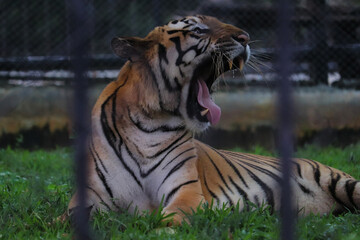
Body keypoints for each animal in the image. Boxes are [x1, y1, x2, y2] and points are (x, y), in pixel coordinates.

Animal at [65, 15, 360, 225]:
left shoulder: (185, 192)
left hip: (343, 183)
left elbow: (170, 219)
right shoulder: (87, 198)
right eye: (198, 30)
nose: (246, 37)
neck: (148, 124)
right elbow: (63, 220)